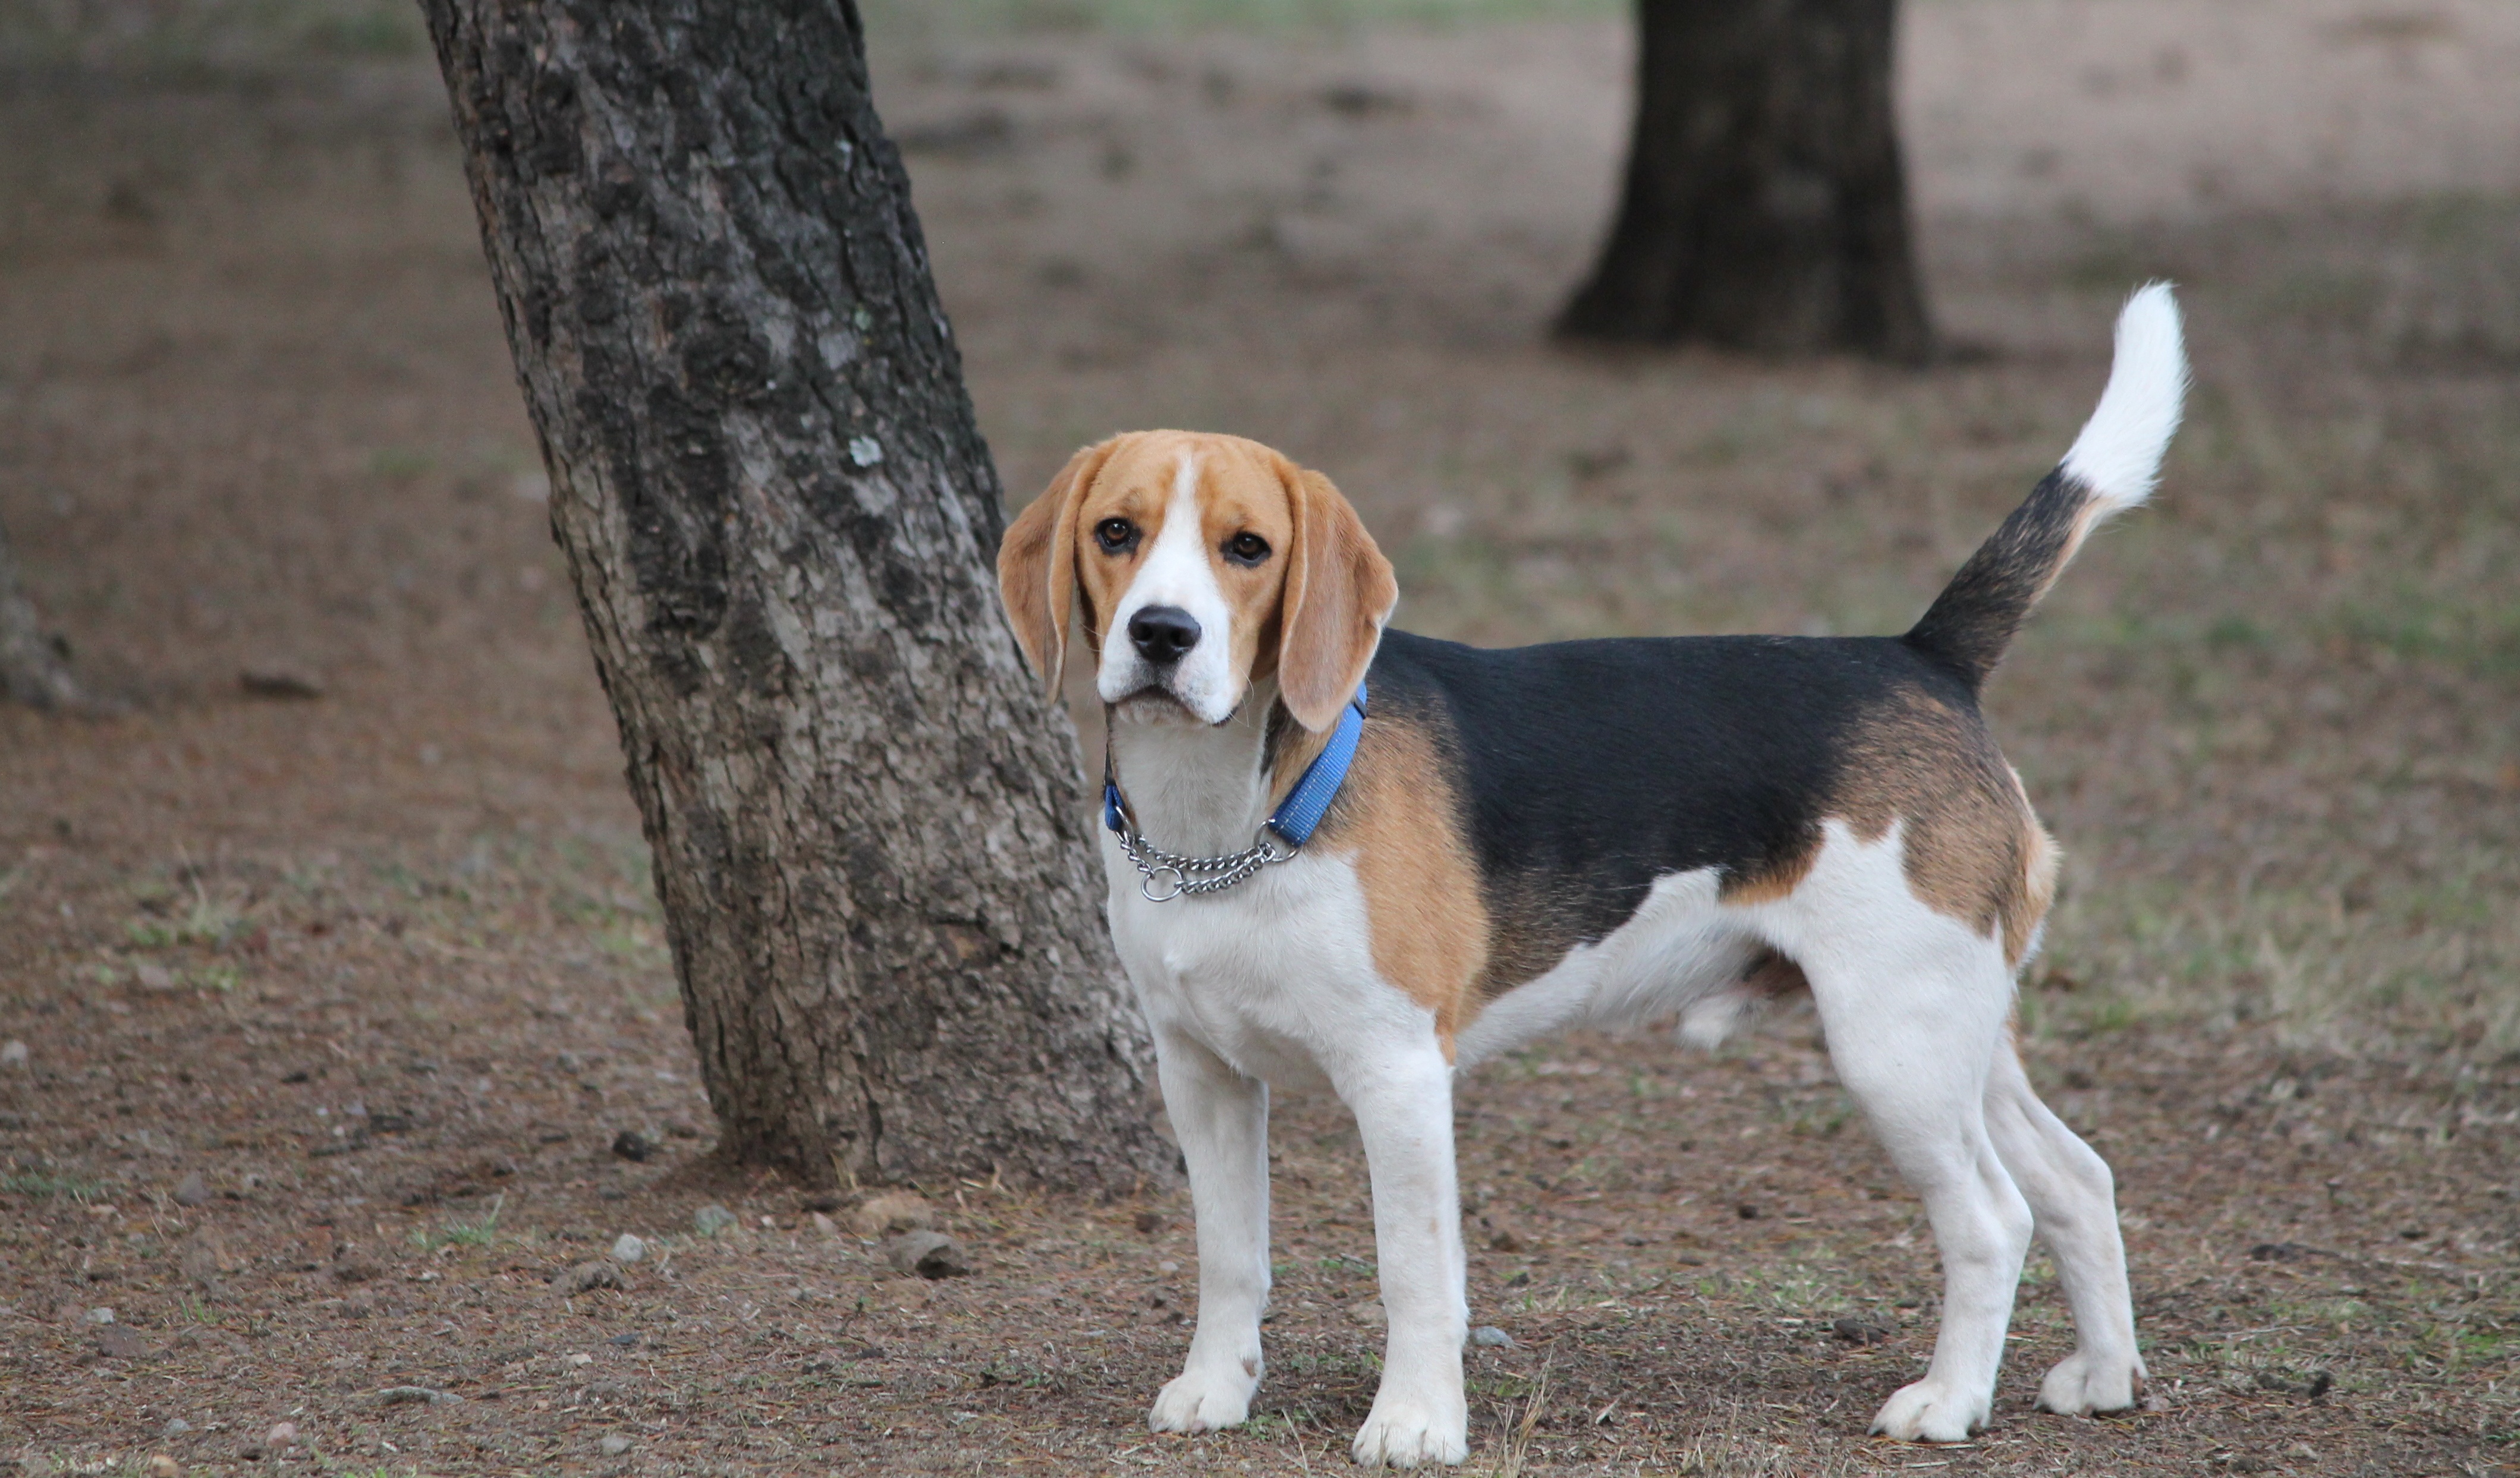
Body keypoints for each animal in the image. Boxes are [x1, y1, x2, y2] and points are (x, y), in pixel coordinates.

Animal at [987, 283, 2187, 1460]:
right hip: (1958, 1028)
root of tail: (1922, 655)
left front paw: (1414, 1419)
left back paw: (1945, 1400)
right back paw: (2102, 1375)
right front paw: (1214, 1387)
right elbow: (1229, 1252)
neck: (1224, 814)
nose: (1161, 633)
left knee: (1992, 1216)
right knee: (2077, 1178)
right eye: (1114, 531)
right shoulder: (1201, 1072)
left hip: (1893, 1041)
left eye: (1246, 547)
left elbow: (1411, 1268)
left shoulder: (1397, 1072)